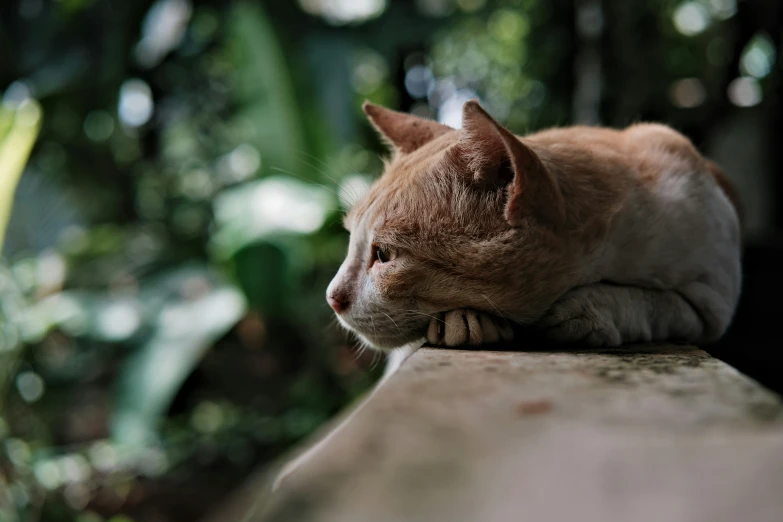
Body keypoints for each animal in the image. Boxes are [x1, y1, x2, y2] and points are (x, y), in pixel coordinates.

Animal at [328, 98, 744, 350]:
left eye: (385, 255)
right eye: (351, 242)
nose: (331, 298)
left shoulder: (711, 304)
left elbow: (652, 301)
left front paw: (588, 310)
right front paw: (467, 322)